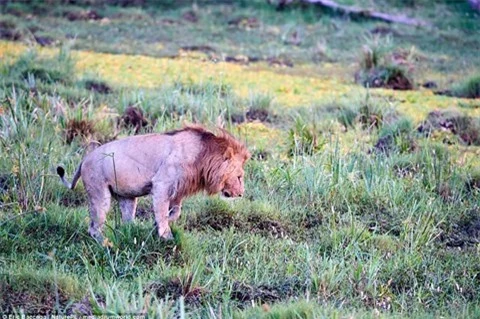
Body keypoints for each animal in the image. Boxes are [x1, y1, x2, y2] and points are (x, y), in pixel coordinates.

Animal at [57, 126, 251, 241]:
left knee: (127, 221)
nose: (241, 193)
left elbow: (175, 212)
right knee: (94, 227)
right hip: (99, 193)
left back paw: (133, 233)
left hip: (127, 198)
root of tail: (84, 160)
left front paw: (156, 225)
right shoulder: (161, 185)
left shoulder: (178, 191)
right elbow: (162, 212)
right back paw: (105, 244)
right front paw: (166, 236)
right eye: (239, 177)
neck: (203, 157)